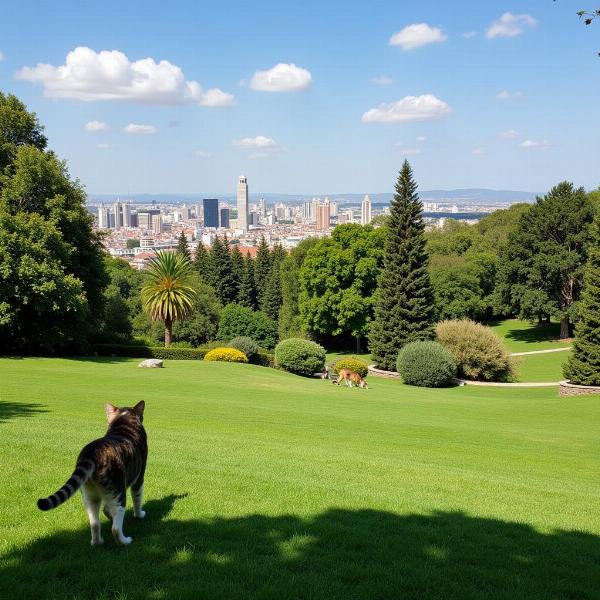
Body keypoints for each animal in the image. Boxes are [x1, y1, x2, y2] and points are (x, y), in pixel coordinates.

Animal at [37, 400, 148, 548]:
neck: (123, 422)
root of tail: (91, 452)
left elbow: (106, 509)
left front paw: (109, 516)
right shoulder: (139, 477)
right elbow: (137, 498)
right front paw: (139, 514)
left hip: (89, 495)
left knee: (95, 523)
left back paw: (97, 542)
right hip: (118, 491)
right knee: (115, 528)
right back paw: (125, 541)